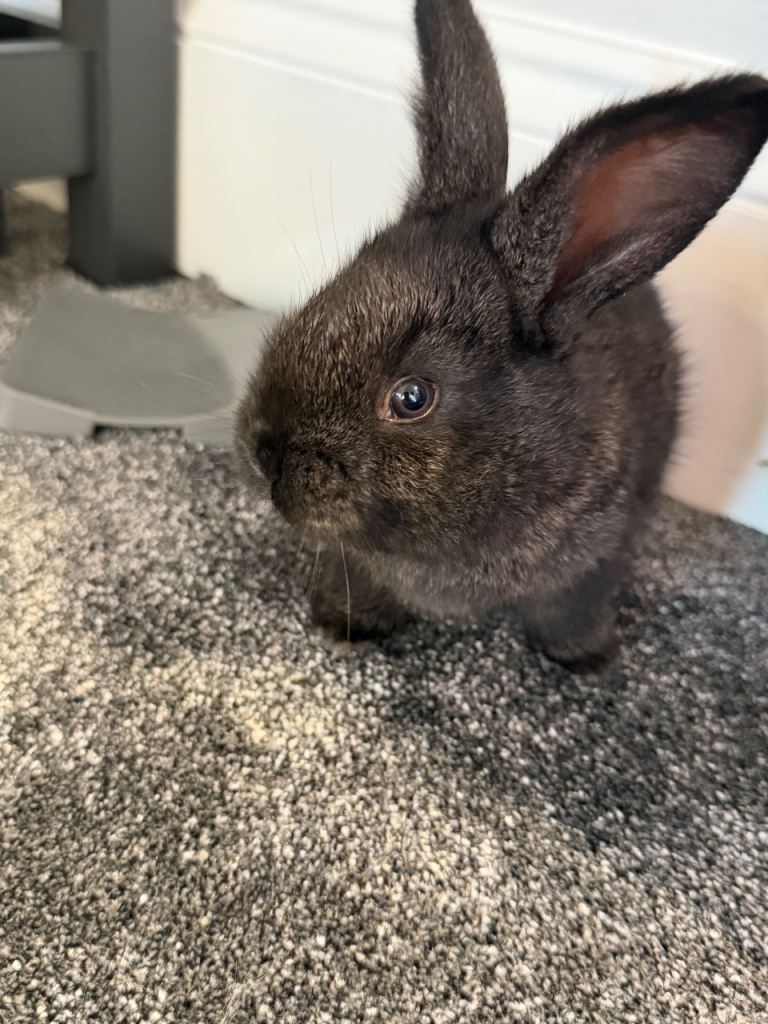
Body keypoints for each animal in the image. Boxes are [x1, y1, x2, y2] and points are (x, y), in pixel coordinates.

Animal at [236, 0, 768, 669]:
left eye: (412, 398)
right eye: (320, 299)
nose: (264, 451)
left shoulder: (599, 554)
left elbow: (572, 606)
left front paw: (584, 660)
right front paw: (344, 625)